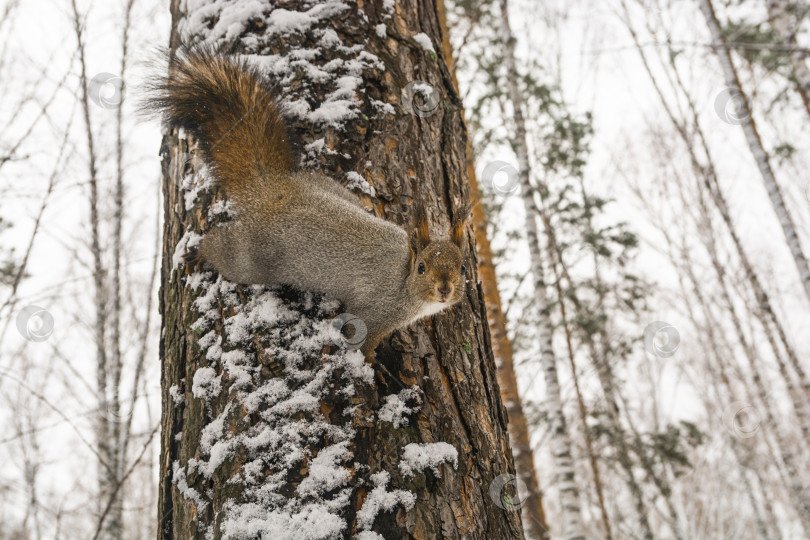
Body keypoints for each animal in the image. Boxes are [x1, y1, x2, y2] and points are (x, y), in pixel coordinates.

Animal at [145, 45, 468, 354]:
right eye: (422, 267)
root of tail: (274, 191)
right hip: (250, 256)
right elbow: (360, 340)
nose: (445, 289)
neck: (405, 275)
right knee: (223, 249)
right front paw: (372, 367)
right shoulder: (374, 312)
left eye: (464, 268)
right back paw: (198, 252)